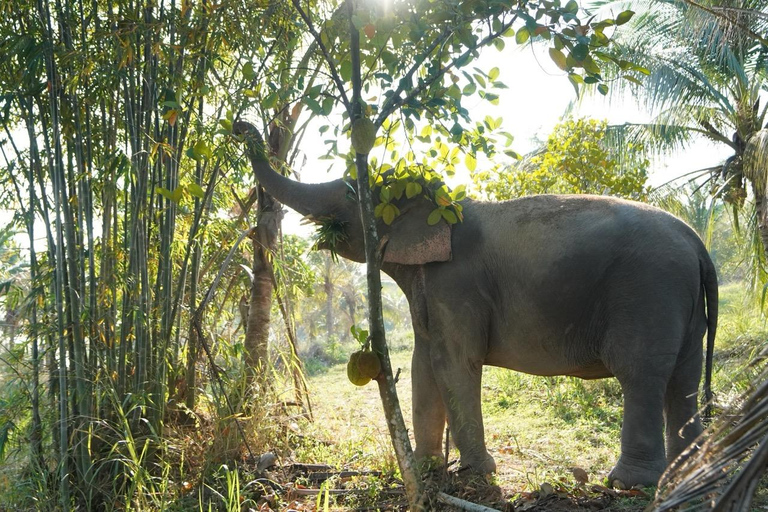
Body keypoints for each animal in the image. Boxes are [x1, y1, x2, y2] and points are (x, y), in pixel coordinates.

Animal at [233, 121, 717, 488]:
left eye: (351, 193)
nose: (241, 125)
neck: (445, 204)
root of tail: (697, 243)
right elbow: (424, 362)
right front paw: (427, 470)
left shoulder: (456, 281)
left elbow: (454, 362)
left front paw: (475, 475)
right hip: (681, 305)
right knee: (683, 378)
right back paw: (687, 473)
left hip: (650, 291)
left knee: (642, 373)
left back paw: (628, 483)